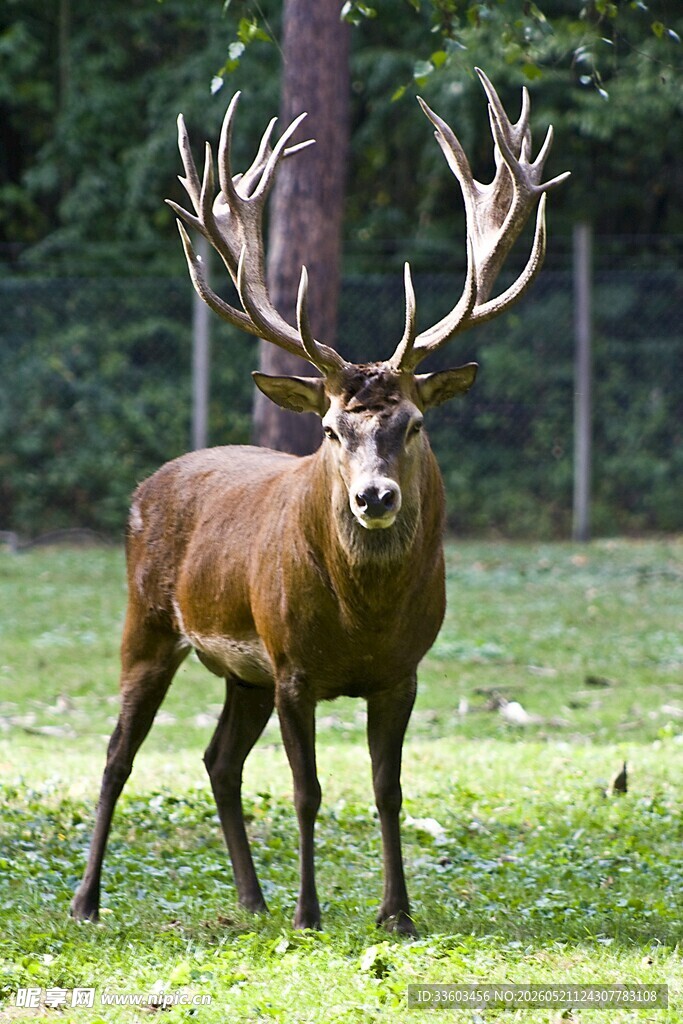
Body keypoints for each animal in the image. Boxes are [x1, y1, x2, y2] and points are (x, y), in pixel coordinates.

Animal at [71, 69, 568, 934]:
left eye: (412, 423)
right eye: (333, 428)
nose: (373, 497)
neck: (362, 617)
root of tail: (150, 481)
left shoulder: (402, 672)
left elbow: (388, 791)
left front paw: (396, 914)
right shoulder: (293, 665)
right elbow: (307, 792)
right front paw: (311, 912)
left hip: (241, 673)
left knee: (218, 759)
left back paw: (250, 897)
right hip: (149, 621)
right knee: (116, 754)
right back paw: (89, 899)